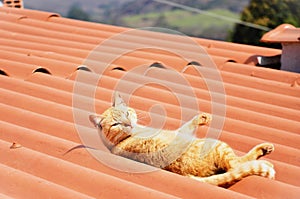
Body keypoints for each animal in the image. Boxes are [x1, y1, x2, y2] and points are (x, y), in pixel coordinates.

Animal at [89, 92, 274, 187]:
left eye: (127, 113)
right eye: (116, 124)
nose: (128, 124)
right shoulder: (180, 132)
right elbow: (188, 124)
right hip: (217, 145)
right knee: (236, 165)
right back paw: (265, 158)